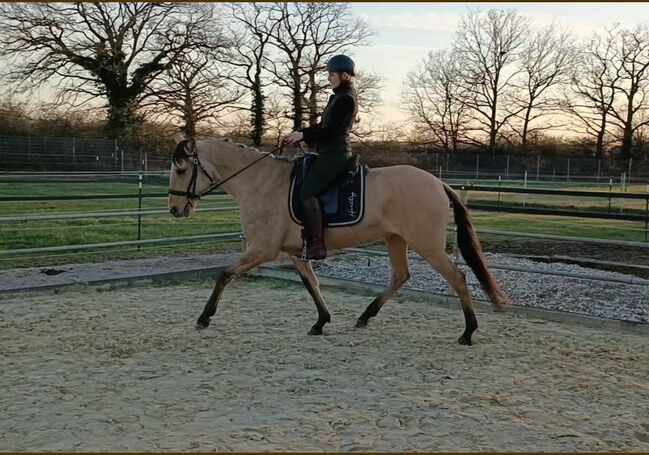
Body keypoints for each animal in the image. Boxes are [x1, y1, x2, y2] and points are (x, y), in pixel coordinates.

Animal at [166, 138, 506, 346]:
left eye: (181, 169)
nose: (175, 210)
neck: (262, 183)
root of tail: (438, 183)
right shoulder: (295, 252)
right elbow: (312, 284)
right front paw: (321, 322)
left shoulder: (262, 249)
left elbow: (224, 274)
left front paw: (204, 318)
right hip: (396, 239)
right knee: (400, 276)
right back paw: (365, 317)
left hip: (427, 245)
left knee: (457, 277)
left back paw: (468, 331)